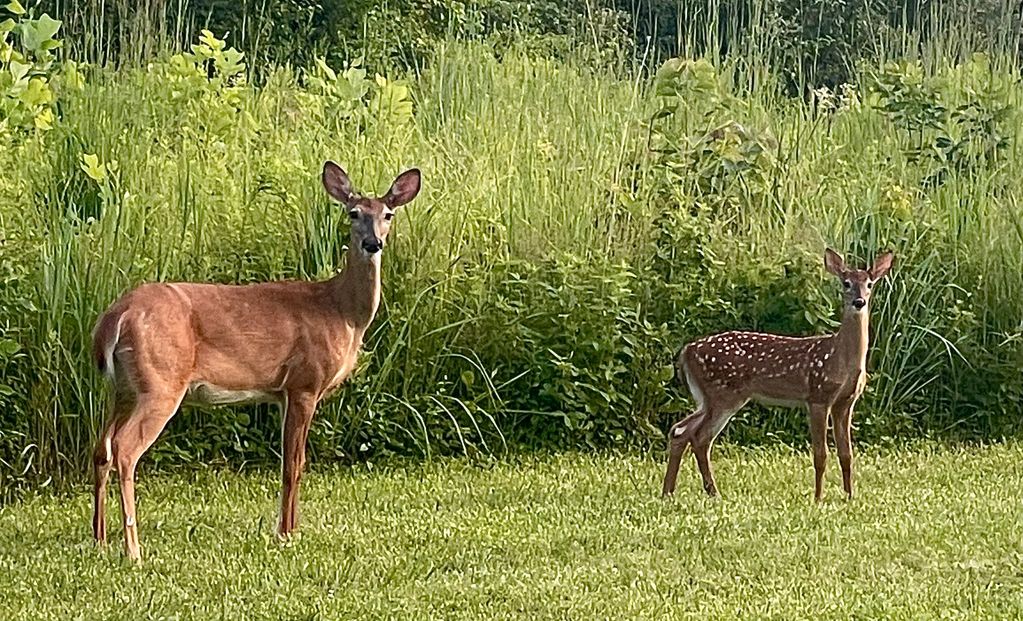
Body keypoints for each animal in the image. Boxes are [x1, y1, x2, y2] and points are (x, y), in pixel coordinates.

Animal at [90, 161, 421, 560]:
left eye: (388, 214)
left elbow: (290, 461)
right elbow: (294, 463)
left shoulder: (280, 393)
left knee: (102, 448)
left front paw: (289, 528)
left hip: (122, 388)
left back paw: (99, 539)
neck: (340, 311)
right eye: (353, 213)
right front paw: (287, 534)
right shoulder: (305, 382)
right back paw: (133, 550)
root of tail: (115, 317)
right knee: (125, 450)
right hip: (161, 382)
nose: (373, 243)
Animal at [662, 248, 894, 501]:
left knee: (682, 431)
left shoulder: (845, 401)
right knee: (699, 436)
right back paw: (710, 492)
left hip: (709, 398)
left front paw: (850, 496)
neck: (840, 359)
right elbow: (820, 454)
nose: (859, 302)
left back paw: (670, 492)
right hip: (723, 393)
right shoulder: (818, 396)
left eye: (869, 284)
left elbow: (846, 454)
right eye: (846, 283)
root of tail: (687, 351)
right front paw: (818, 498)